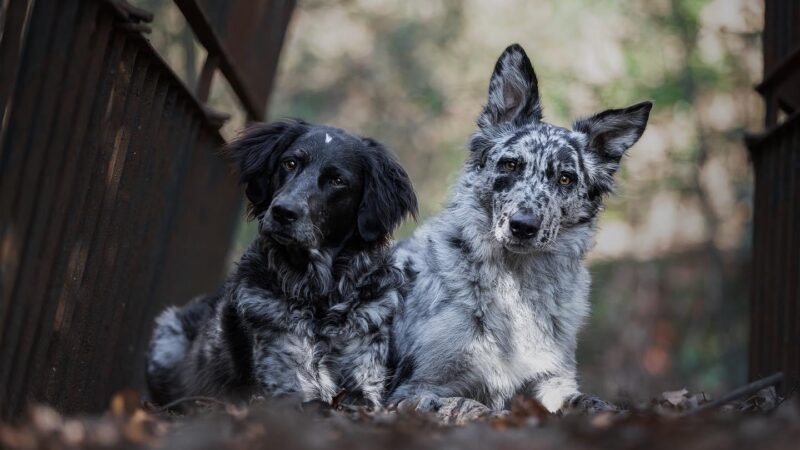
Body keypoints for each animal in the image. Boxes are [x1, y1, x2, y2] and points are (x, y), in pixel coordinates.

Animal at [145, 119, 418, 408]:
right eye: (290, 163)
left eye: (337, 180)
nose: (283, 211)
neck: (320, 297)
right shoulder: (286, 382)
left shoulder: (365, 380)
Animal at [388, 44, 648, 414]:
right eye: (511, 164)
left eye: (565, 178)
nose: (523, 226)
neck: (515, 282)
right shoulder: (415, 389)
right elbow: (469, 405)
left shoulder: (552, 380)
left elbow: (587, 401)